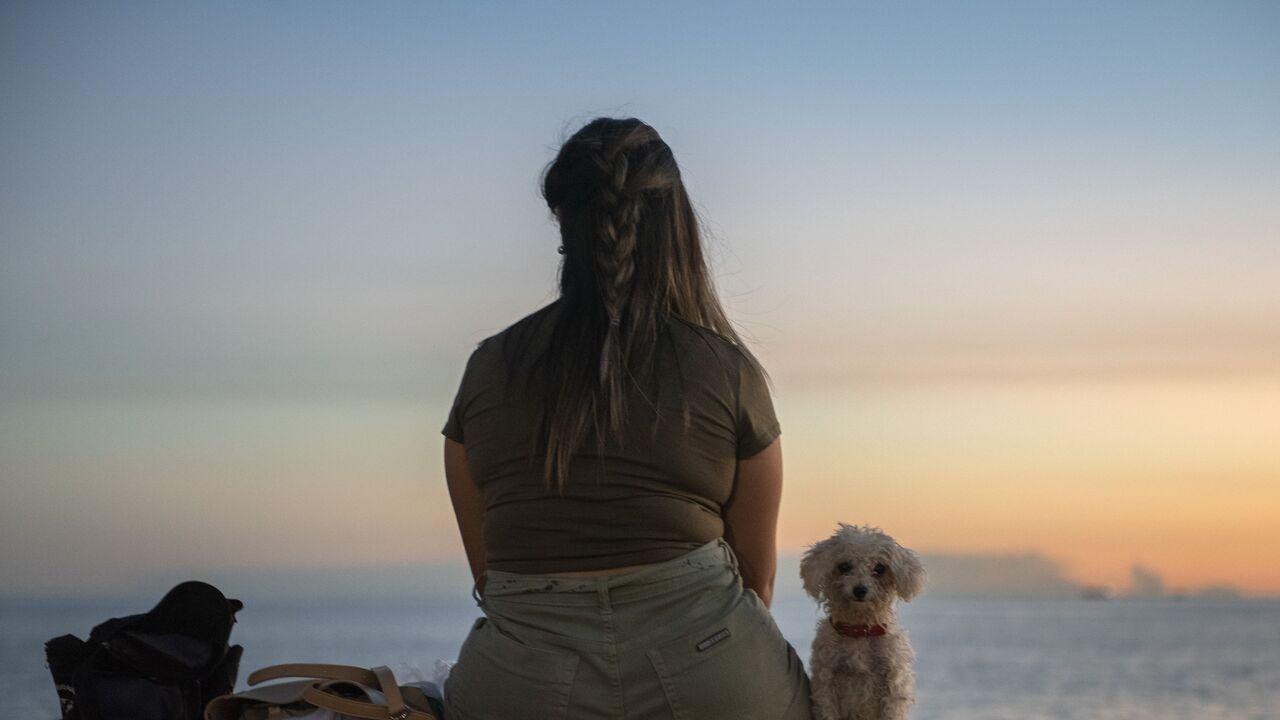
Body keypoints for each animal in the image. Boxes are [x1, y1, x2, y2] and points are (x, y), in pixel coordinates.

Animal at [793, 520, 926, 717]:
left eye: (879, 568)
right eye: (844, 566)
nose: (860, 590)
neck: (859, 630)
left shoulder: (892, 684)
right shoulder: (826, 682)